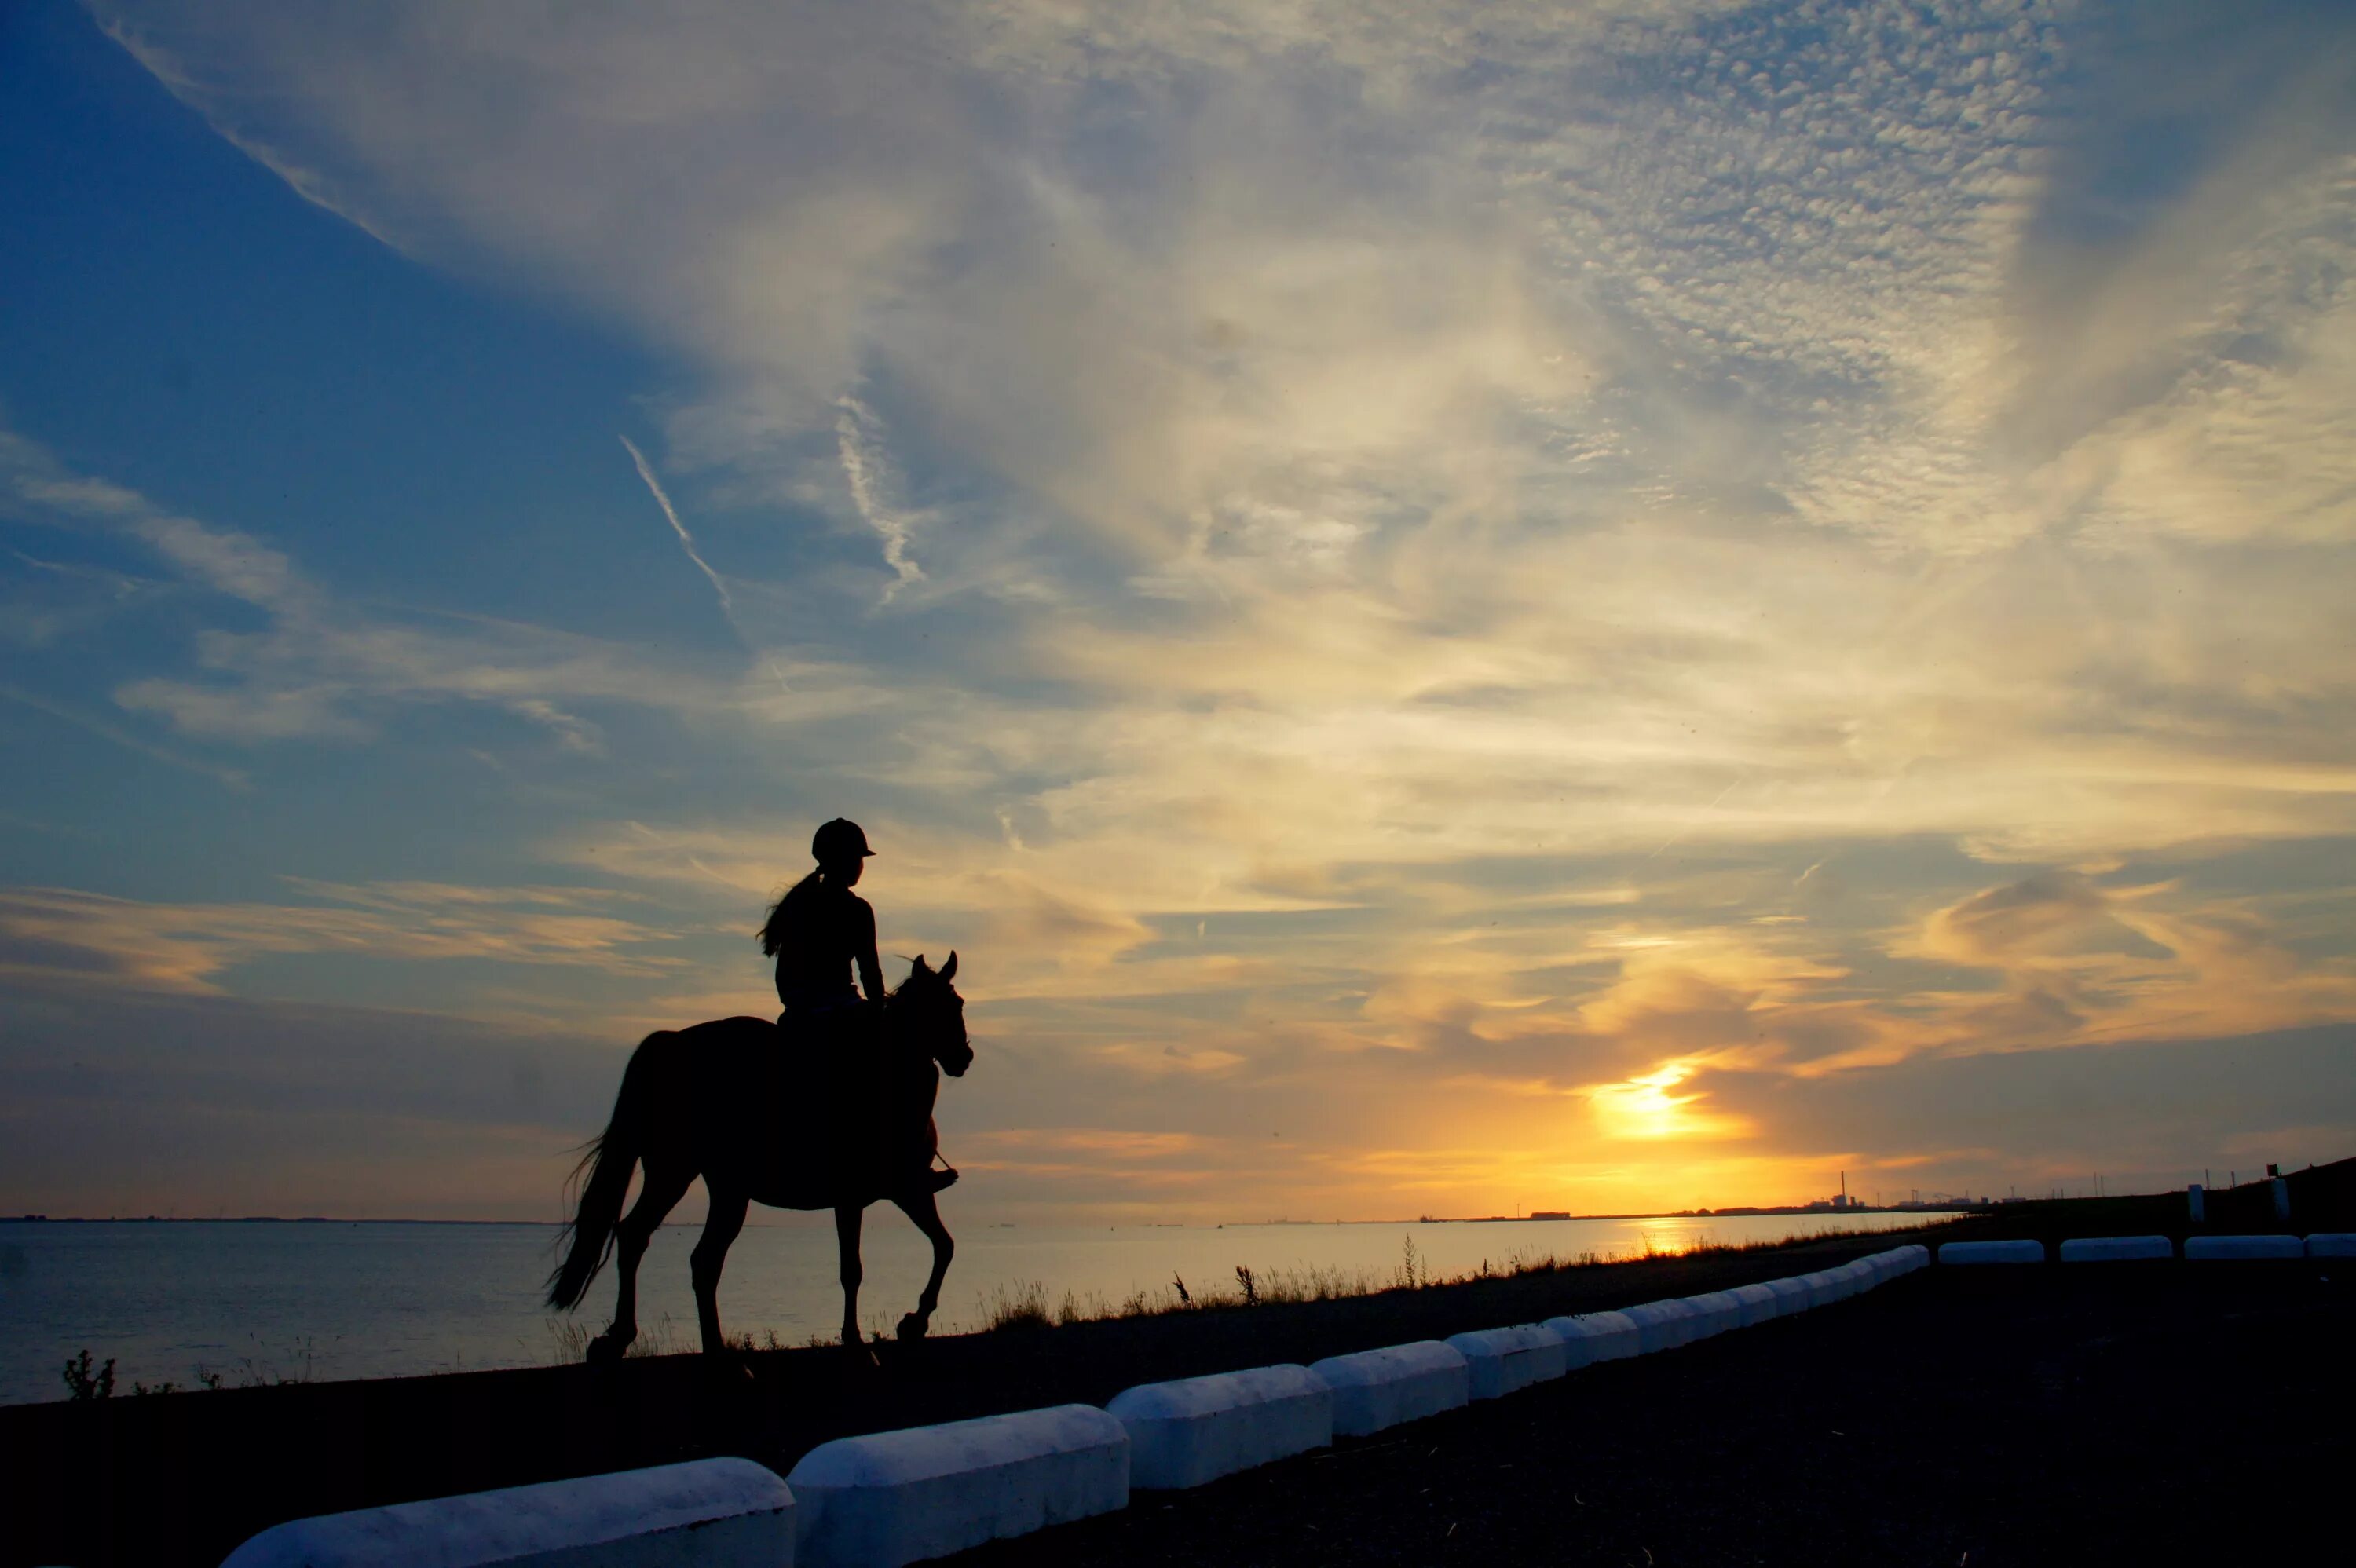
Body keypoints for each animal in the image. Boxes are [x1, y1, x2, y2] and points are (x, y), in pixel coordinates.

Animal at [542, 946, 966, 1347]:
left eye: (958, 1004)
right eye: (934, 1008)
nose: (964, 1057)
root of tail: (669, 1043)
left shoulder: (907, 1190)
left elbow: (943, 1246)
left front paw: (913, 1322)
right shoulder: (856, 1196)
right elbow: (853, 1270)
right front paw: (860, 1332)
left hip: (719, 1186)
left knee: (685, 1254)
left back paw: (687, 1340)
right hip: (677, 1172)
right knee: (652, 1241)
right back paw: (639, 1336)